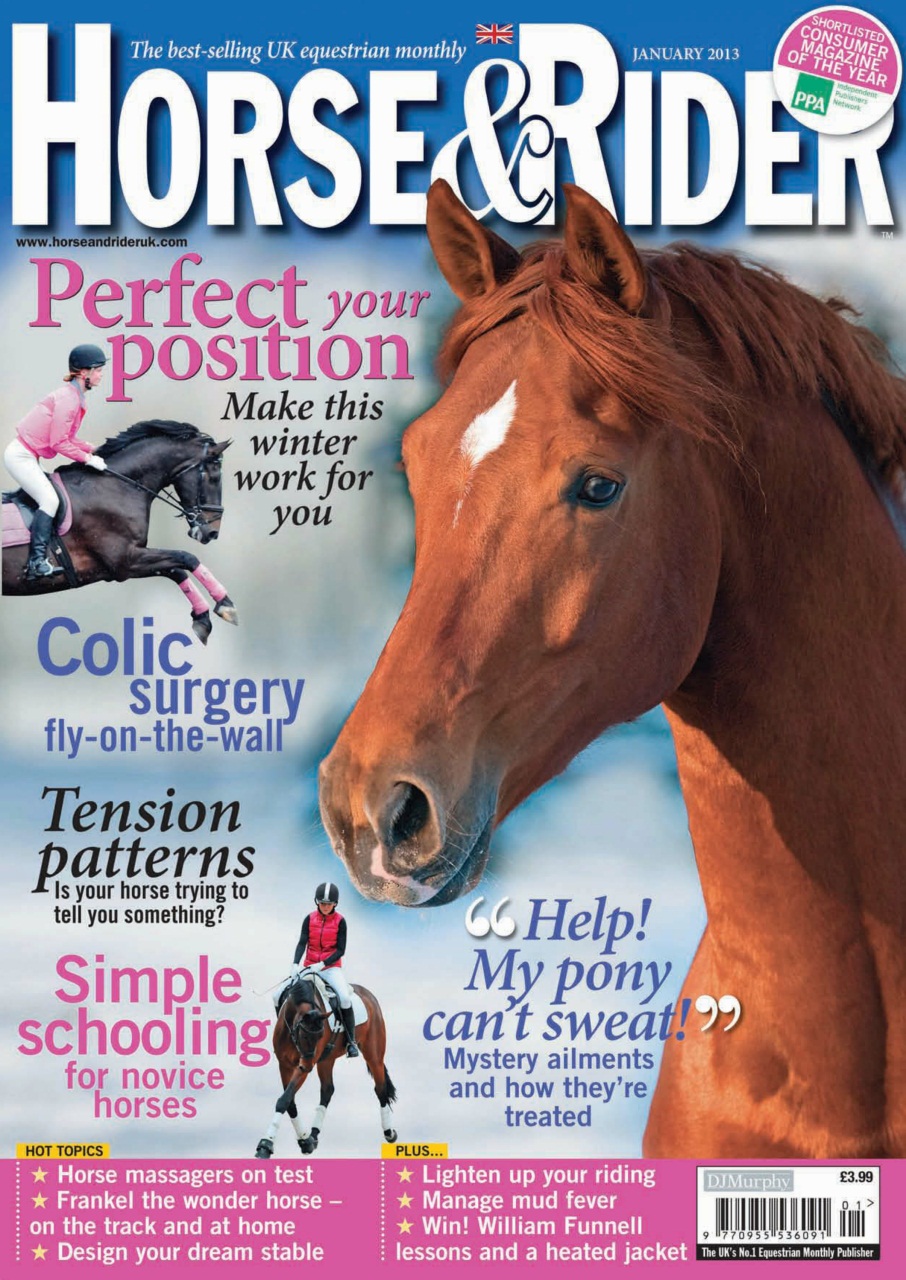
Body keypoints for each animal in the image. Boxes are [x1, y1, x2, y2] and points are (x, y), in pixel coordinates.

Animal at [2, 420, 236, 643]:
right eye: (215, 477)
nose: (212, 532)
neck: (117, 485)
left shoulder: (122, 563)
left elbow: (177, 570)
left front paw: (202, 617)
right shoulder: (124, 561)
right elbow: (187, 558)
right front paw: (225, 603)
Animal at [255, 971, 397, 1157]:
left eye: (320, 1035)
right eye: (304, 1035)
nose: (307, 1067)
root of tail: (369, 995)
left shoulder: (303, 1064)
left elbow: (285, 1099)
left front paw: (265, 1144)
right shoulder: (285, 1064)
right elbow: (289, 1101)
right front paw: (305, 1140)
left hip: (374, 1055)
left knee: (380, 1088)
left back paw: (389, 1132)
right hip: (326, 1060)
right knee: (327, 1090)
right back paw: (313, 1135)